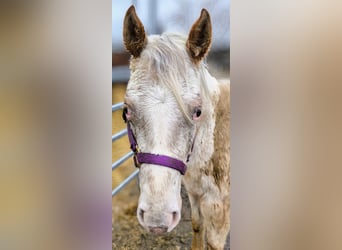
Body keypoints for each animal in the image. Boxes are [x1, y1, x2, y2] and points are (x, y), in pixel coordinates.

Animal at [121, 5, 230, 248]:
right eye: (127, 110)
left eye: (197, 111)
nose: (156, 218)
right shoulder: (194, 194)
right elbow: (197, 226)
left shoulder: (219, 212)